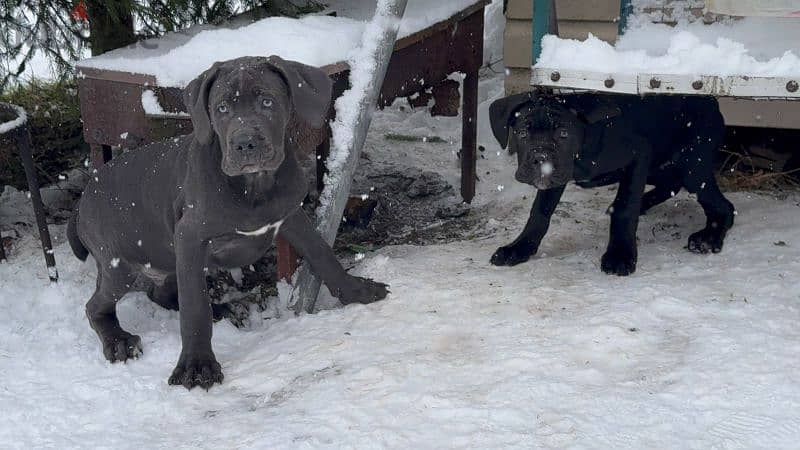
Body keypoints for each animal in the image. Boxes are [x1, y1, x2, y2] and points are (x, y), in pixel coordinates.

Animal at [70, 55, 390, 390]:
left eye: (267, 101)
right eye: (222, 108)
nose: (245, 143)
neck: (254, 187)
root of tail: (83, 198)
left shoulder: (290, 215)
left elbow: (322, 254)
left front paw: (357, 291)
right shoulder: (189, 238)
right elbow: (194, 308)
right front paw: (196, 366)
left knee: (161, 293)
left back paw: (222, 309)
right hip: (122, 265)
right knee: (96, 306)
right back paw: (119, 342)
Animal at [488, 91, 732, 274]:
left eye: (564, 133)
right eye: (521, 133)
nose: (540, 158)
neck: (586, 140)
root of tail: (711, 100)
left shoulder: (639, 155)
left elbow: (625, 208)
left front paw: (620, 256)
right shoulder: (557, 178)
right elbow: (539, 212)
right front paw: (519, 248)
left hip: (691, 166)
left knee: (724, 207)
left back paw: (709, 238)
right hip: (662, 165)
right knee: (670, 184)